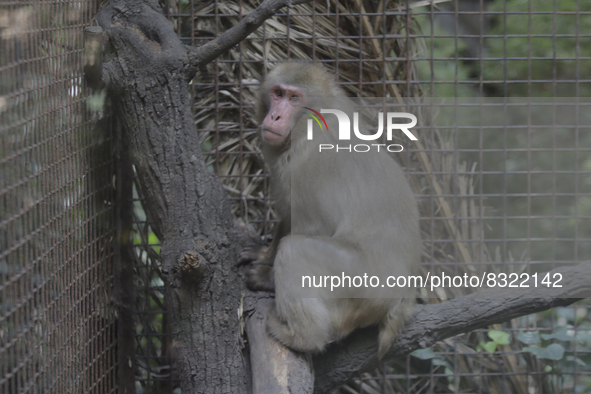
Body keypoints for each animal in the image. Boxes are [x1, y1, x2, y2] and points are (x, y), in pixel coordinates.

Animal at [238, 60, 424, 358]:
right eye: (278, 93)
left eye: (294, 98)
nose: (275, 117)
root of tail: (401, 299)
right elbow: (288, 219)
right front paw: (264, 255)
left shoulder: (304, 166)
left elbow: (310, 226)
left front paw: (267, 277)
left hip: (360, 285)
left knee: (295, 250)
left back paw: (303, 337)